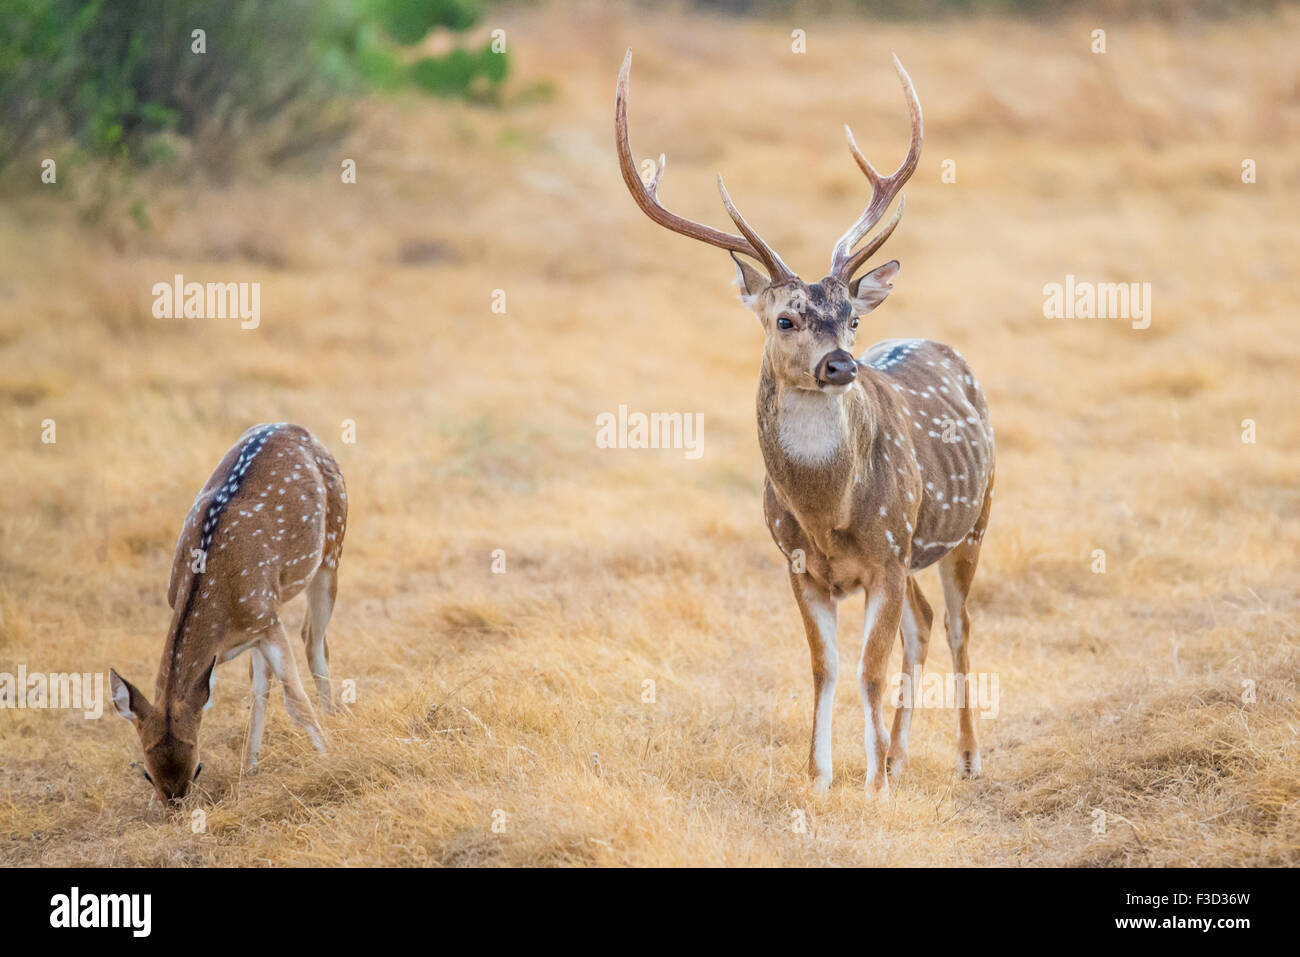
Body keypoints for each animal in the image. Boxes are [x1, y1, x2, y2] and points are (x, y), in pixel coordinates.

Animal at [109, 421, 348, 806]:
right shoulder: (262, 623)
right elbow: (259, 687)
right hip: (277, 603)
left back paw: (334, 718)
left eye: (197, 768)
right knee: (271, 673)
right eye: (146, 773)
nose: (175, 805)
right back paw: (251, 765)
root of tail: (294, 427)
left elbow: (295, 701)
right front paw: (249, 770)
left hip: (332, 548)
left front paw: (329, 754)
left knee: (314, 641)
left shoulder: (267, 621)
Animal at [616, 54, 993, 800]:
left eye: (851, 316)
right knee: (924, 624)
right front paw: (821, 779)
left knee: (960, 624)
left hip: (972, 519)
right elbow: (825, 668)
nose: (841, 363)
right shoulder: (798, 561)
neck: (828, 514)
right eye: (786, 318)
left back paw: (965, 757)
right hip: (919, 545)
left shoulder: (886, 551)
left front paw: (871, 788)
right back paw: (902, 755)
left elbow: (868, 670)